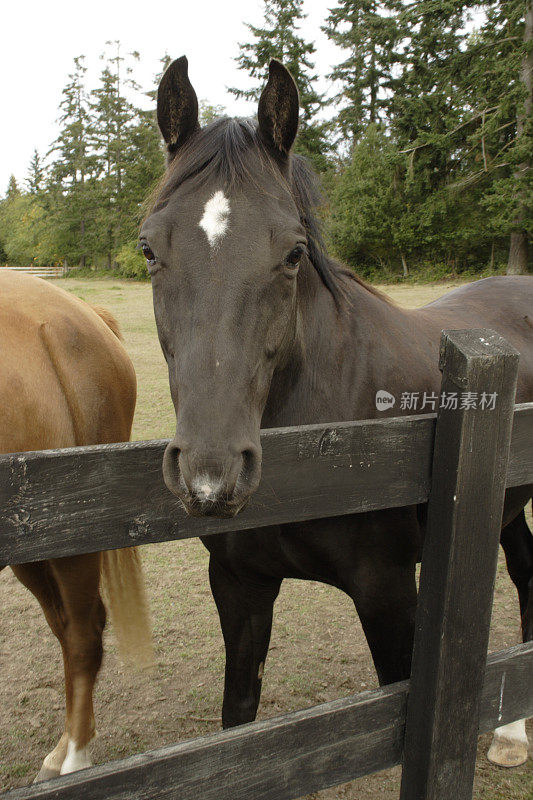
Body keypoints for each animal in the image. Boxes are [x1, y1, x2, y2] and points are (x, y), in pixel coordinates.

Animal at [141, 57, 532, 768]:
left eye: (294, 252)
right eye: (150, 250)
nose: (211, 476)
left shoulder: (389, 593)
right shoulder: (238, 585)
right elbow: (237, 717)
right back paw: (512, 731)